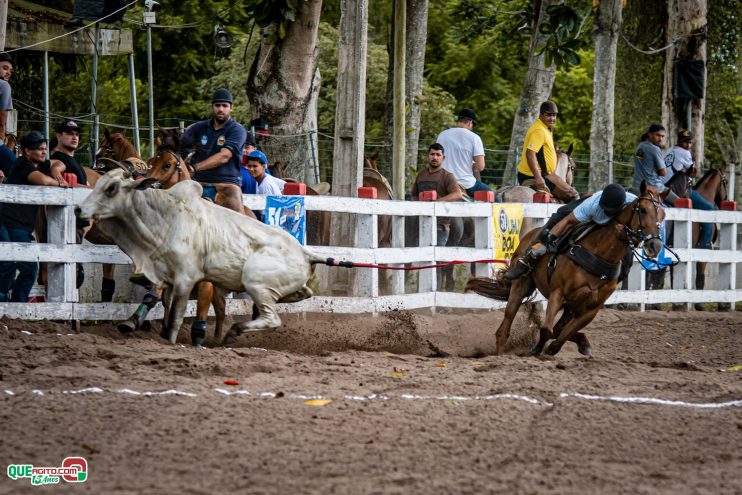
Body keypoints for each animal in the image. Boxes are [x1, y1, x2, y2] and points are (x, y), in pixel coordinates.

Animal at [77, 170, 324, 344]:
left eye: (111, 188)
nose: (78, 209)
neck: (166, 218)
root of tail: (304, 252)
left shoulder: (185, 279)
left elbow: (176, 316)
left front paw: (170, 341)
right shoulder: (167, 277)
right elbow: (165, 308)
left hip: (256, 283)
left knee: (272, 318)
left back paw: (233, 333)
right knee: (302, 294)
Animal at [468, 182, 664, 356]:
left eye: (663, 214)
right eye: (643, 210)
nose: (654, 244)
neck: (599, 255)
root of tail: (529, 236)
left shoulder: (591, 309)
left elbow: (562, 333)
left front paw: (568, 346)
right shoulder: (558, 293)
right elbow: (547, 330)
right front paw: (536, 349)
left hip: (571, 306)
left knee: (558, 328)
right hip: (521, 286)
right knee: (504, 328)